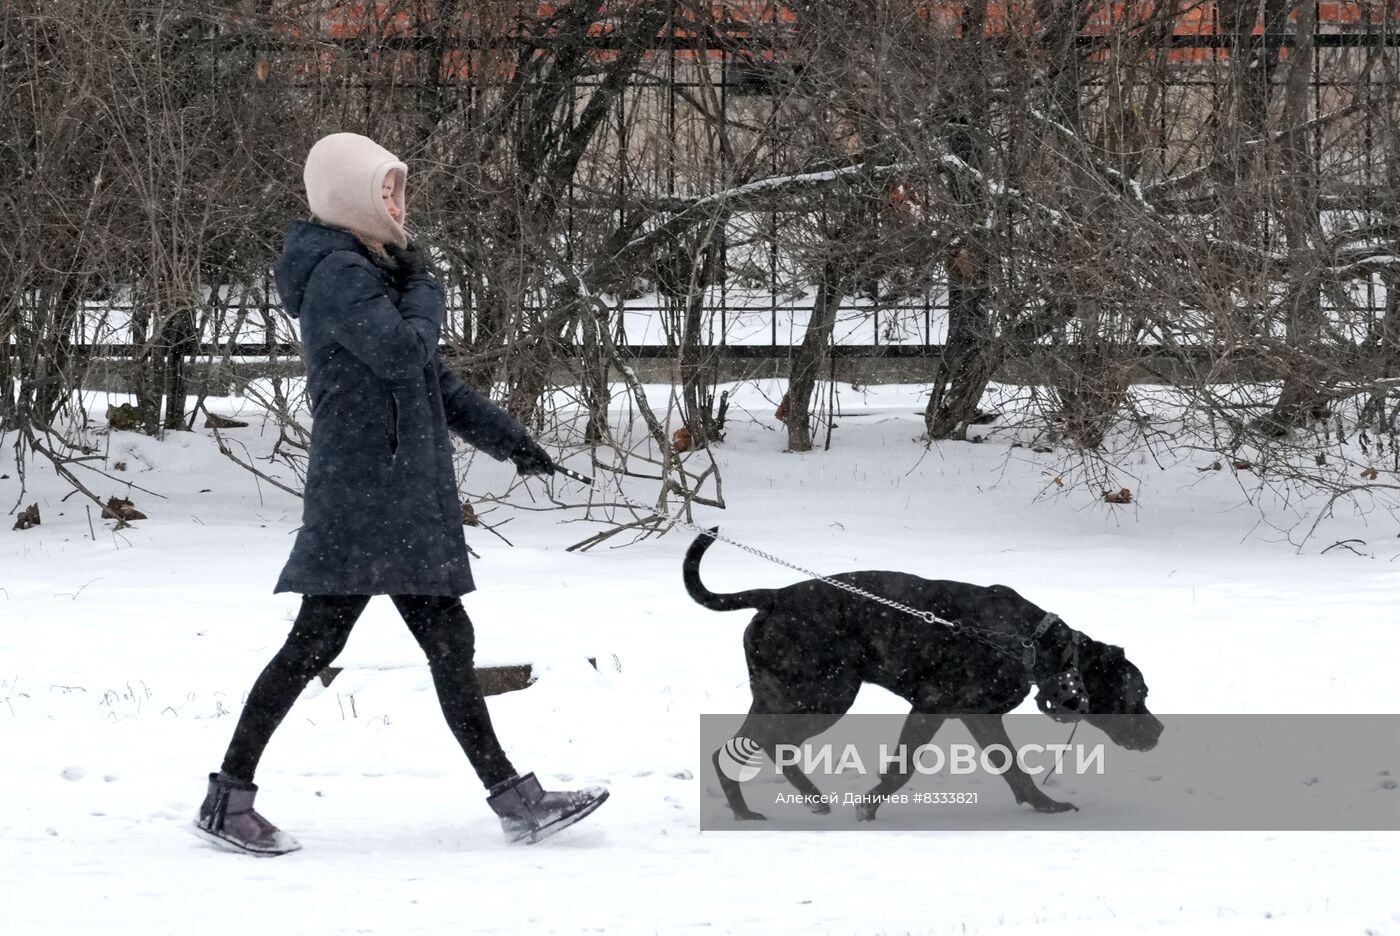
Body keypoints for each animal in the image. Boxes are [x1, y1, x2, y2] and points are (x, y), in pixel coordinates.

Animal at [686, 528, 1159, 822]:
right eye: (1138, 694)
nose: (1159, 731)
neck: (1034, 644)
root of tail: (773, 597)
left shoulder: (979, 716)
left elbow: (1013, 768)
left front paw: (1043, 805)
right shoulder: (933, 707)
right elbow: (903, 767)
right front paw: (868, 808)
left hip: (782, 696)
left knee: (743, 748)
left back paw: (764, 808)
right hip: (823, 696)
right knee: (764, 744)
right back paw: (786, 805)